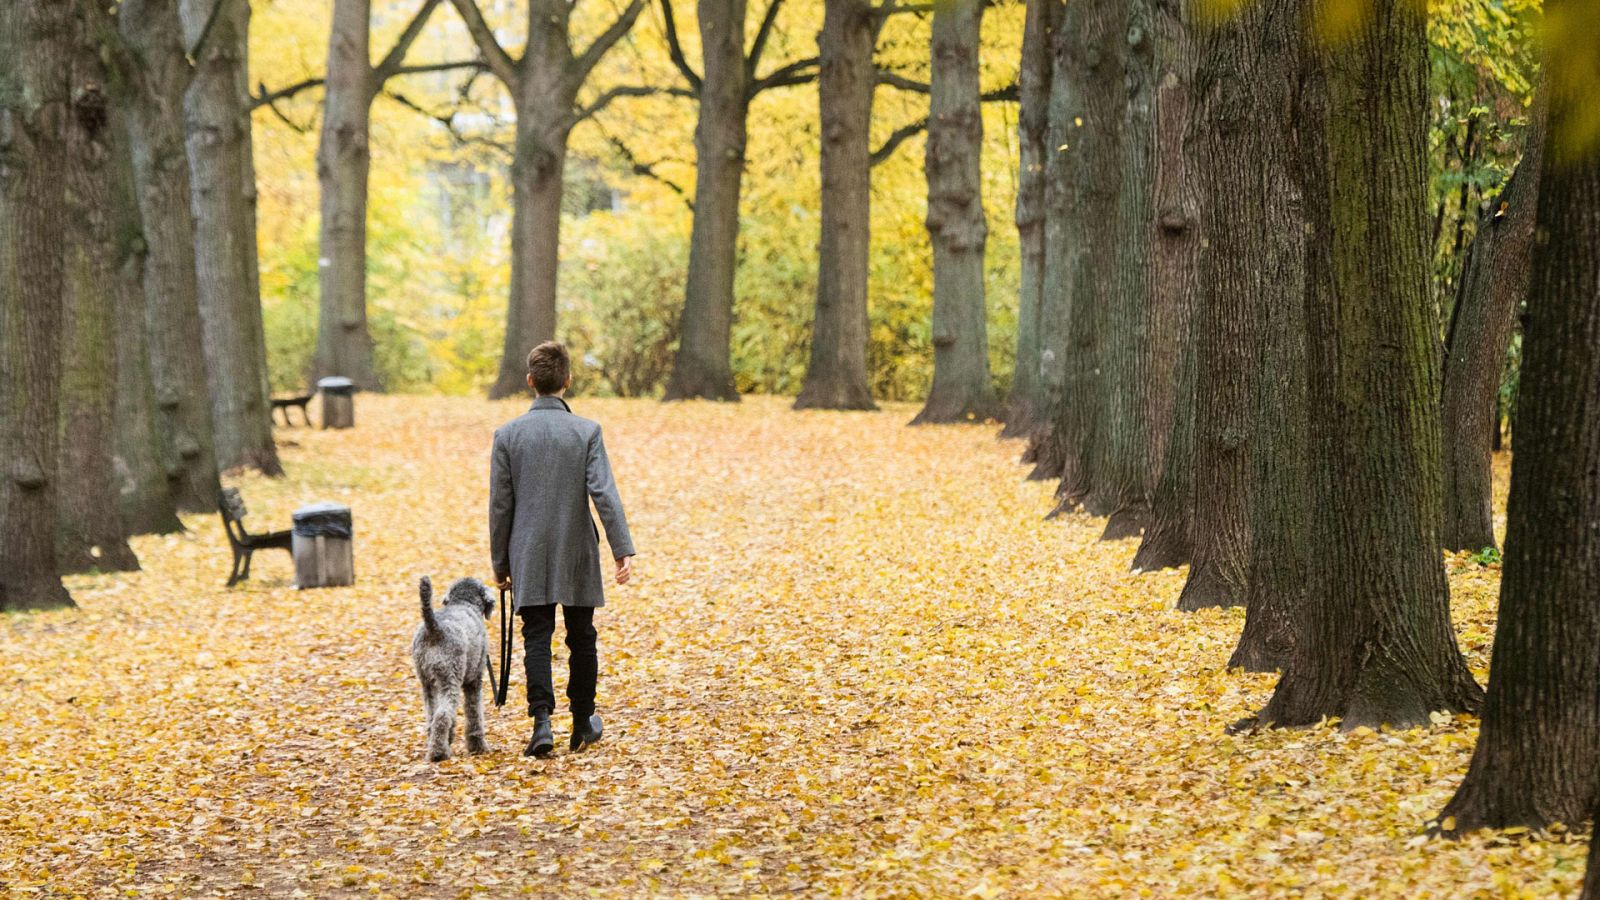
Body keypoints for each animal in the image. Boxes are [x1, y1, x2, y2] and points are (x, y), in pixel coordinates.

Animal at [409, 573, 489, 755]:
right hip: (450, 680)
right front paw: (477, 745)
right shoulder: (474, 681)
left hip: (427, 684)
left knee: (432, 717)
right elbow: (474, 713)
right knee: (442, 715)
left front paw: (451, 736)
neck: (464, 602)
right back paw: (439, 753)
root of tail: (433, 628)